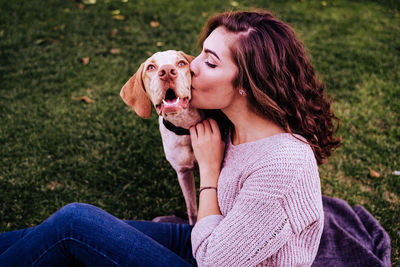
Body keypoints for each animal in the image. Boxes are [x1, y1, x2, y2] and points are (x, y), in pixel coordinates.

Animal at [120, 50, 203, 226]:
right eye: (151, 67)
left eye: (181, 63)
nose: (166, 72)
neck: (186, 128)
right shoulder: (183, 172)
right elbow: (192, 209)